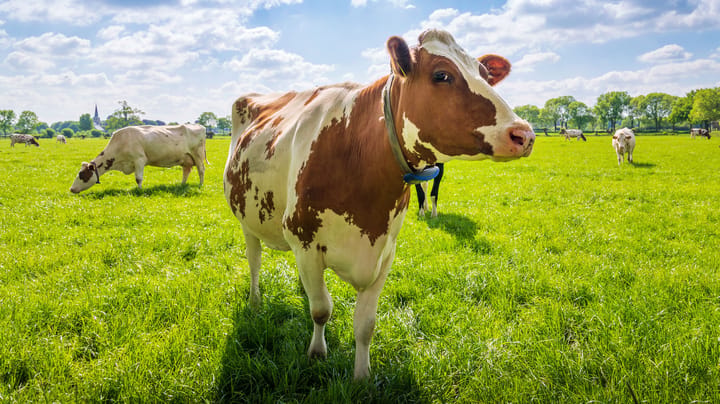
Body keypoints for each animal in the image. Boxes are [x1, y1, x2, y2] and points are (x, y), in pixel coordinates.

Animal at [70, 124, 206, 193]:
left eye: (82, 175)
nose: (71, 189)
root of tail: (199, 126)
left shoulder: (139, 160)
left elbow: (138, 178)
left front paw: (140, 190)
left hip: (198, 155)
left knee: (201, 170)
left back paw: (200, 185)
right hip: (186, 159)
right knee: (186, 171)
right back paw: (182, 185)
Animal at [223, 29, 535, 379]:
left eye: (484, 74)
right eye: (442, 75)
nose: (524, 133)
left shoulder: (384, 251)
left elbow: (365, 325)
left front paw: (362, 376)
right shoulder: (304, 241)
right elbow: (321, 311)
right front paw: (317, 353)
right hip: (246, 220)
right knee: (254, 261)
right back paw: (255, 301)